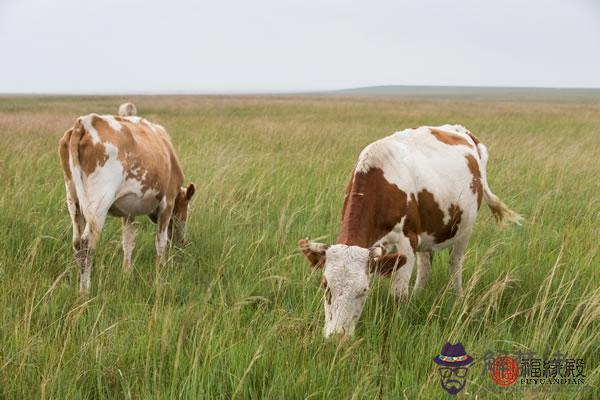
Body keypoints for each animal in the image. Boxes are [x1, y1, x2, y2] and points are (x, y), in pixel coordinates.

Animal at [59, 111, 195, 292]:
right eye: (185, 212)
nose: (181, 242)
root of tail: (85, 122)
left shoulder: (128, 212)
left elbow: (128, 242)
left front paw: (126, 275)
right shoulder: (168, 201)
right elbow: (161, 242)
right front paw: (160, 277)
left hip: (72, 197)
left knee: (76, 243)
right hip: (99, 203)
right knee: (86, 244)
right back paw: (85, 291)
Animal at [298, 125, 520, 338]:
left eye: (364, 290)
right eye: (325, 285)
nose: (337, 336)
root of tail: (461, 130)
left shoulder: (407, 241)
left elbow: (398, 295)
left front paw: (396, 325)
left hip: (464, 229)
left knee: (455, 263)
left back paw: (458, 297)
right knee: (425, 267)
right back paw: (418, 296)